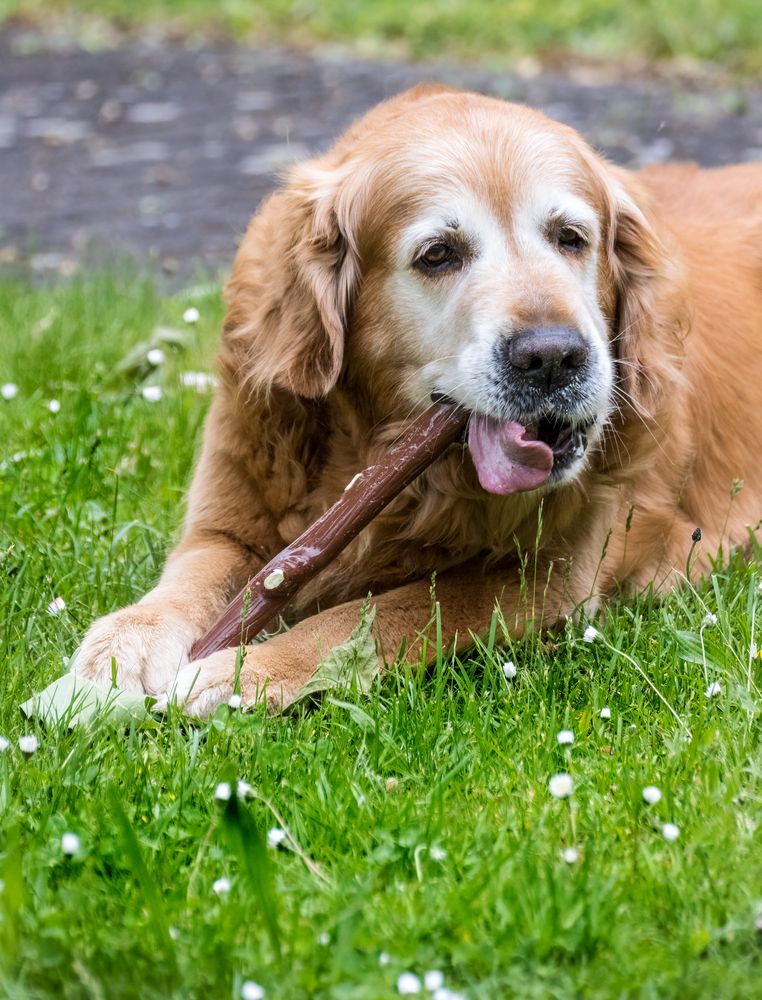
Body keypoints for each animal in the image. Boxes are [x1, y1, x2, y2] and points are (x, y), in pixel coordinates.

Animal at [72, 84, 760, 712]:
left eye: (570, 238)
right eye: (438, 255)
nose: (553, 357)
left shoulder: (556, 573)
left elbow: (390, 610)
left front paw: (251, 669)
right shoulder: (230, 525)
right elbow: (189, 583)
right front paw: (123, 647)